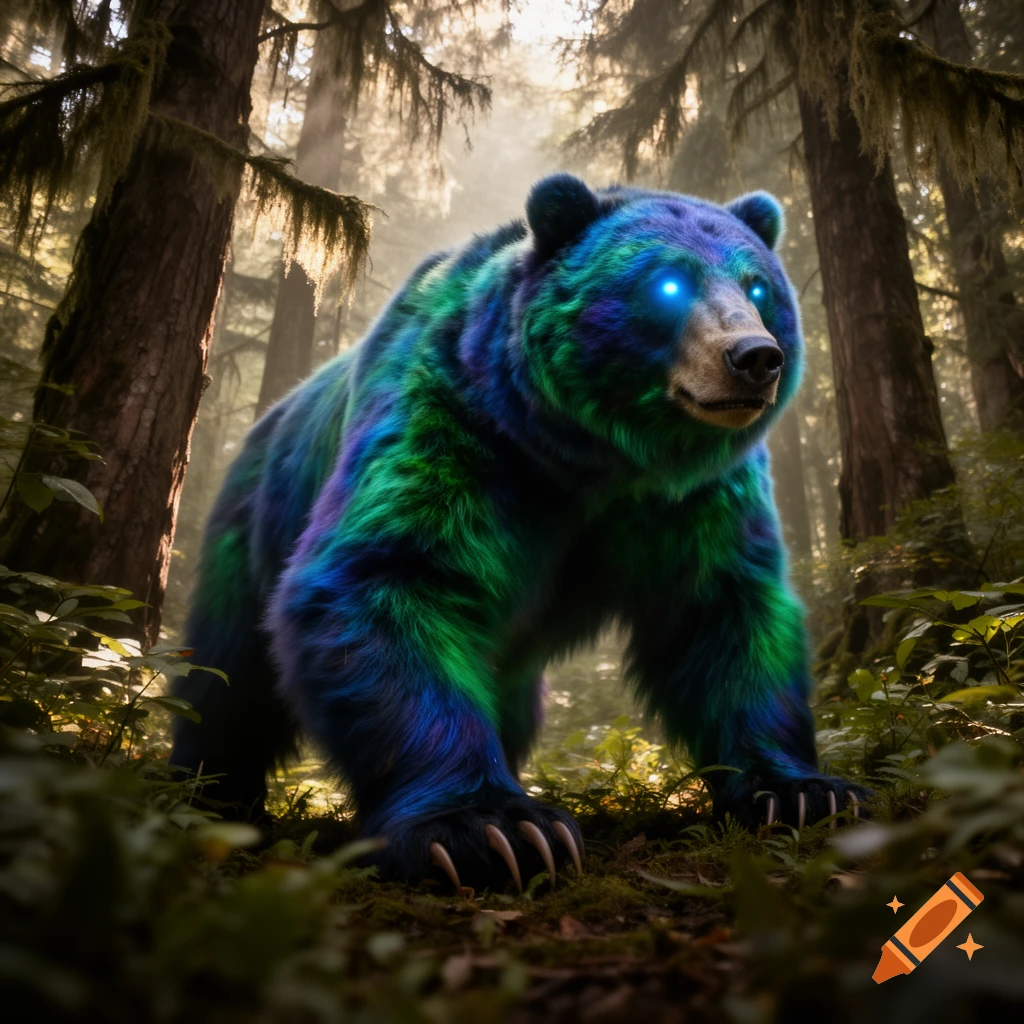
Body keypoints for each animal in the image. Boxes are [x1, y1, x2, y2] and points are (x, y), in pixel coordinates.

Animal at [170, 173, 868, 891]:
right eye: (669, 284)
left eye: (757, 287)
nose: (755, 357)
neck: (588, 457)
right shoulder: (457, 426)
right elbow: (390, 573)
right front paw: (491, 829)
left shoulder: (691, 499)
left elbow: (726, 611)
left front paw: (801, 792)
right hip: (251, 528)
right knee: (228, 679)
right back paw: (213, 793)